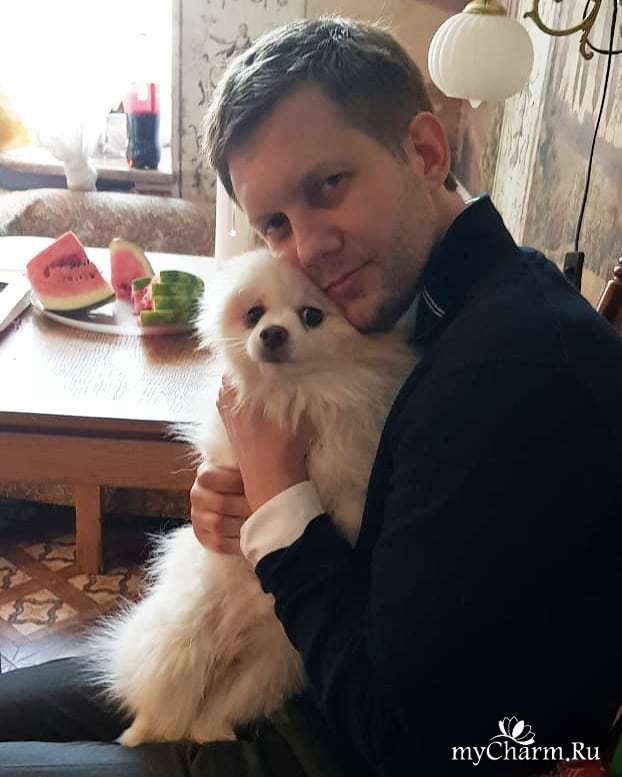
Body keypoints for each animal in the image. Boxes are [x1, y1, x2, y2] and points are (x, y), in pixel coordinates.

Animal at [84, 248, 416, 746]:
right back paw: (139, 733)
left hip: (267, 669)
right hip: (179, 647)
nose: (273, 333)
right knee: (163, 709)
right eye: (254, 315)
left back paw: (211, 734)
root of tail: (231, 643)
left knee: (210, 716)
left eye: (312, 316)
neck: (297, 391)